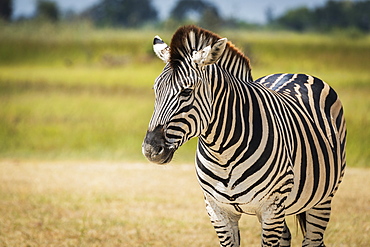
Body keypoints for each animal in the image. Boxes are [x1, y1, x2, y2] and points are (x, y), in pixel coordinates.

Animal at [142, 25, 346, 247]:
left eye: (186, 92)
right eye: (155, 90)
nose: (150, 149)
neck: (222, 154)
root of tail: (294, 73)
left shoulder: (271, 209)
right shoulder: (218, 210)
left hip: (323, 199)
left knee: (313, 239)